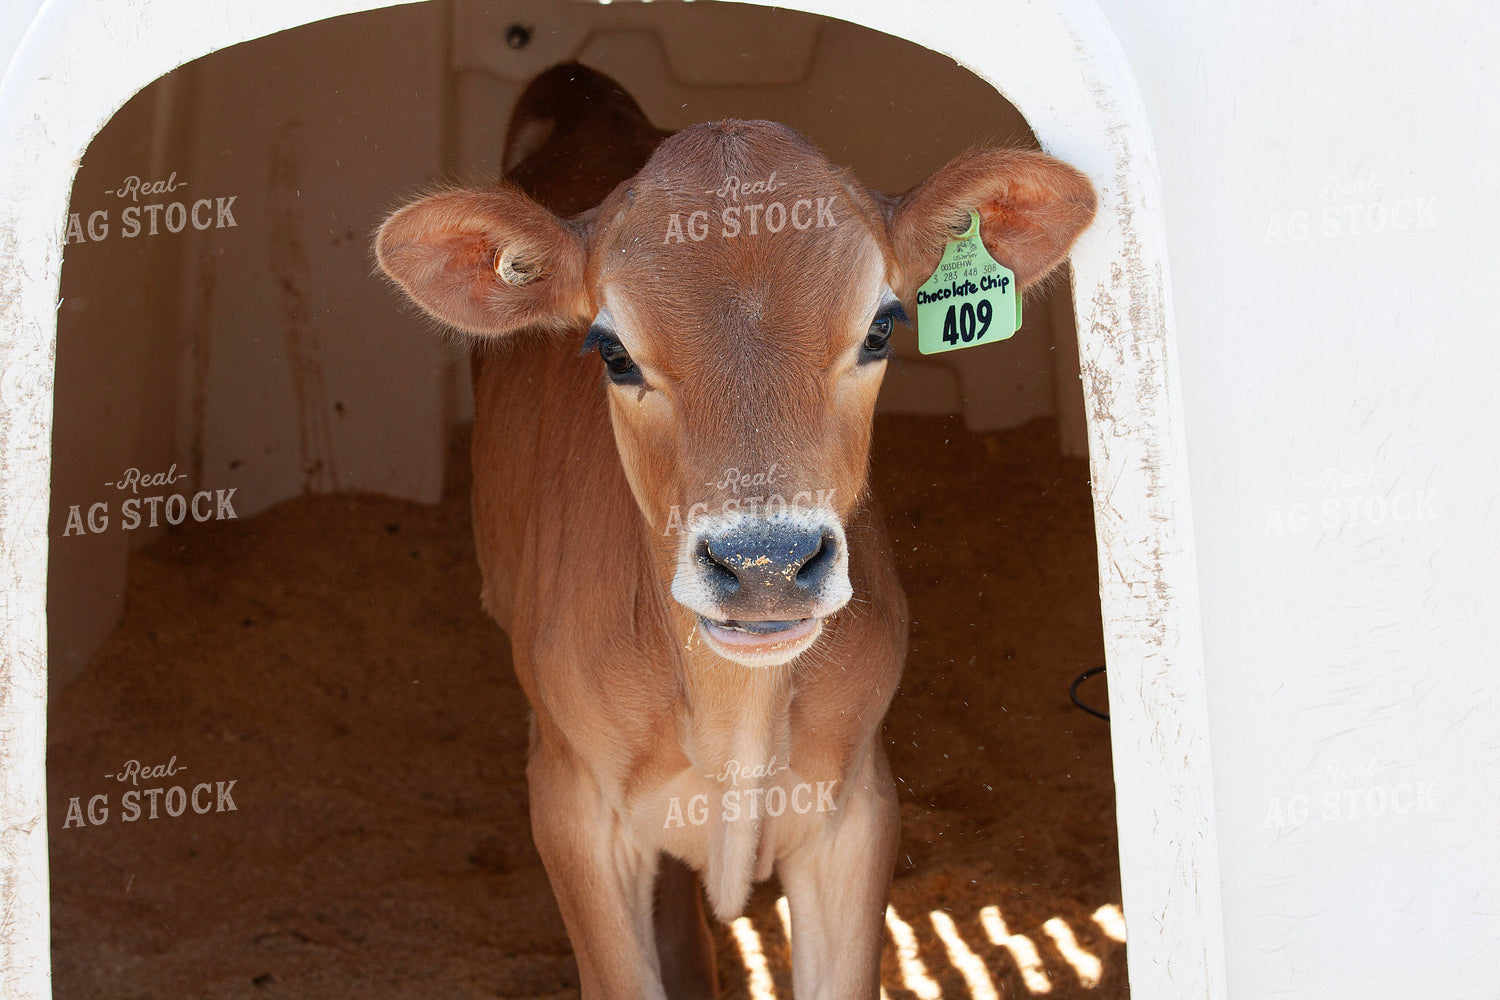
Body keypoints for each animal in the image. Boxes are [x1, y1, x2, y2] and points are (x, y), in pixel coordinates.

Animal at [375, 63, 1095, 1000]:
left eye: (880, 328)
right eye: (612, 351)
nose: (765, 563)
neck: (732, 719)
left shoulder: (854, 809)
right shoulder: (573, 808)